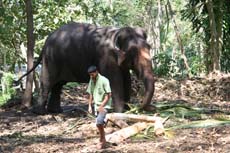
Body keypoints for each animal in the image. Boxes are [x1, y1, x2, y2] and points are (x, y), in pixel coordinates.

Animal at [18, 21, 155, 115]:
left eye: (149, 47)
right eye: (133, 52)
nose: (140, 107)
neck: (116, 32)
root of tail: (46, 42)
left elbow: (127, 79)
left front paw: (127, 110)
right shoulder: (105, 56)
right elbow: (115, 81)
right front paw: (120, 112)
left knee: (58, 85)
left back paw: (56, 111)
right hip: (50, 60)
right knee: (47, 83)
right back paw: (40, 113)